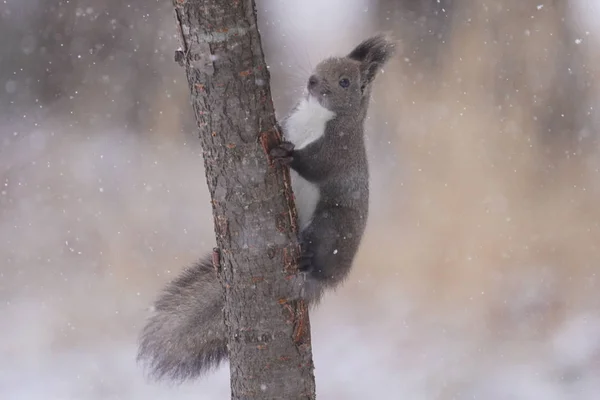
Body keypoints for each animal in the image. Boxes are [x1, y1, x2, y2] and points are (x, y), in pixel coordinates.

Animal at [138, 36, 396, 382]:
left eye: (345, 82)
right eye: (322, 62)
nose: (313, 81)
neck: (315, 116)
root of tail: (328, 280)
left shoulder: (338, 151)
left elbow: (315, 165)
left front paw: (287, 155)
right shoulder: (290, 123)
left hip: (331, 225)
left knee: (320, 252)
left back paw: (308, 258)